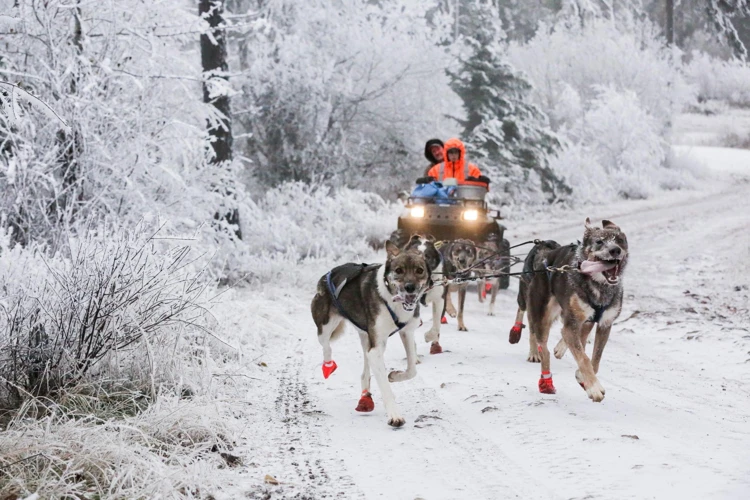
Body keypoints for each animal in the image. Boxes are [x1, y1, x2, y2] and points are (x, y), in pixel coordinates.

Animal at [310, 241, 428, 426]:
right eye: (399, 270)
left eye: (419, 270)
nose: (410, 288)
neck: (391, 300)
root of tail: (327, 275)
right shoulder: (376, 347)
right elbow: (385, 386)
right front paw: (395, 415)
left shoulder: (406, 333)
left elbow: (412, 370)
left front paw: (395, 376)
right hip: (325, 326)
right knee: (326, 346)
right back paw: (328, 365)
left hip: (367, 337)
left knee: (365, 371)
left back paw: (365, 397)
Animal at [516, 219, 628, 402]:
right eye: (599, 242)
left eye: (619, 240)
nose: (615, 250)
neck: (599, 287)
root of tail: (544, 261)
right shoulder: (573, 324)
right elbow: (583, 358)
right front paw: (594, 388)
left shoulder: (604, 324)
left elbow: (595, 359)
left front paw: (583, 378)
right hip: (542, 317)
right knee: (543, 348)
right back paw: (546, 382)